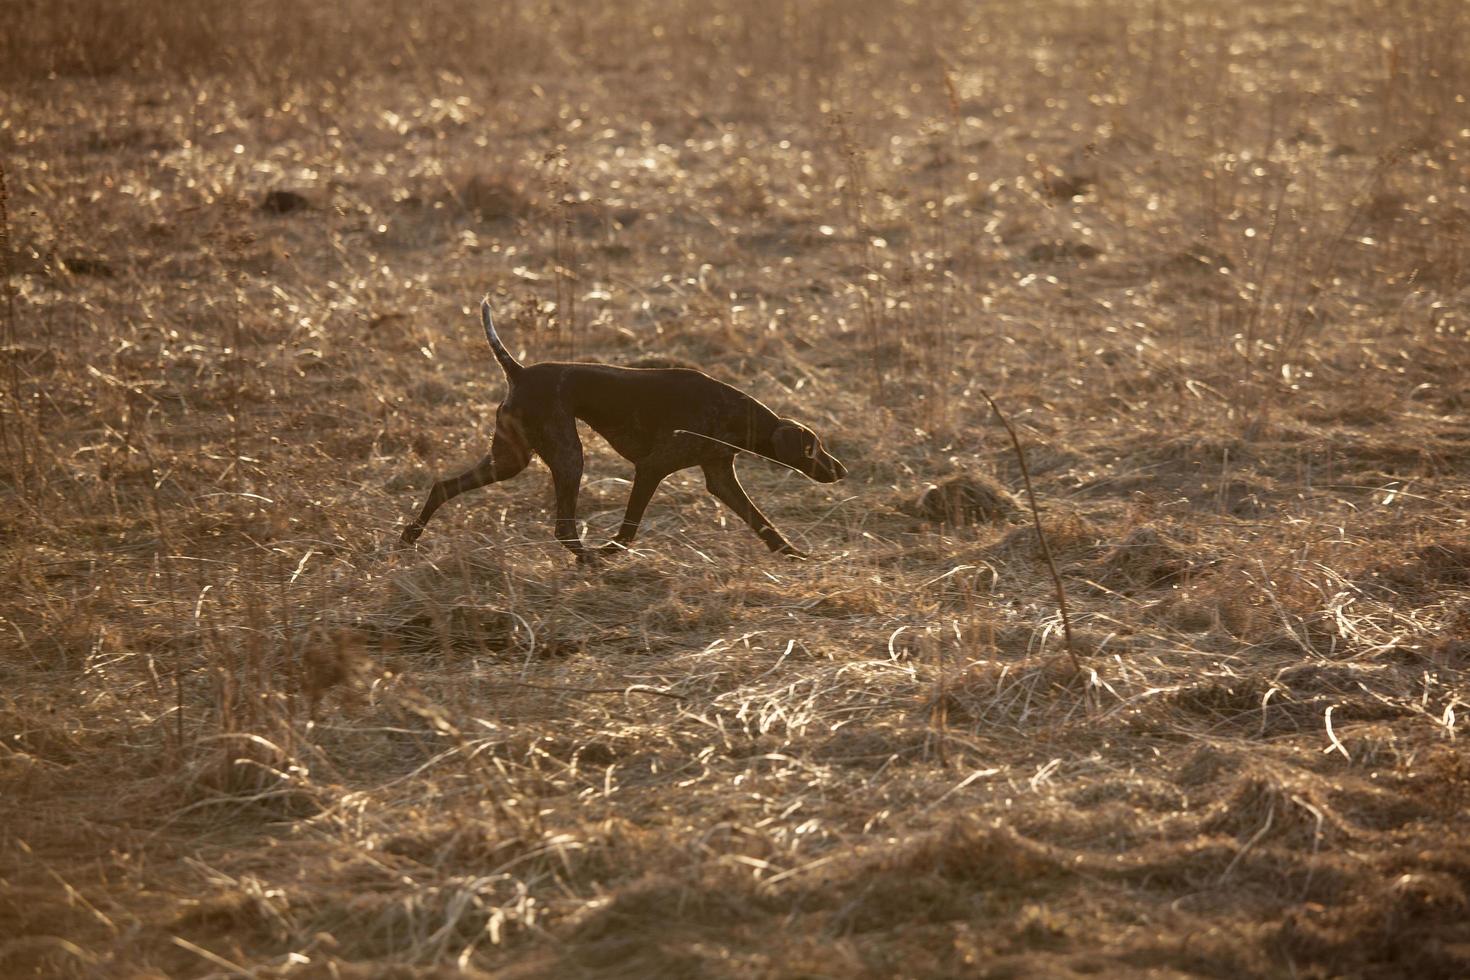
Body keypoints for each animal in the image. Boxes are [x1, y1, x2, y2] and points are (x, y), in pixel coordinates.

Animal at [396, 296, 846, 558]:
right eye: (812, 448)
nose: (841, 470)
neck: (734, 411)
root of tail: (519, 372)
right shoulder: (651, 469)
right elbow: (628, 530)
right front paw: (613, 551)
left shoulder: (720, 477)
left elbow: (763, 523)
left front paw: (793, 554)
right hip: (567, 457)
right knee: (563, 530)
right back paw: (590, 559)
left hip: (509, 460)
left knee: (442, 487)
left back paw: (410, 536)